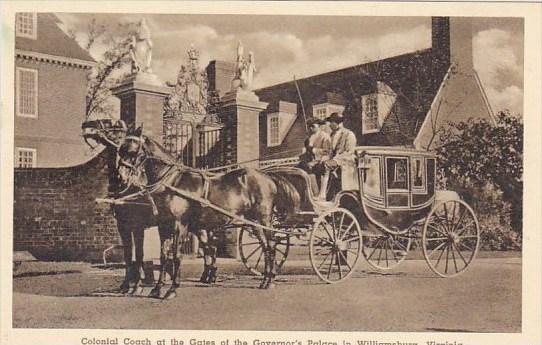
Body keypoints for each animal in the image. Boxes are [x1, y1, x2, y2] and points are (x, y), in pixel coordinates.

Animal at [117, 126, 302, 298]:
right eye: (120, 150)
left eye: (132, 151)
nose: (121, 178)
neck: (172, 182)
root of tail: (268, 176)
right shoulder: (163, 226)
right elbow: (164, 257)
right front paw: (156, 289)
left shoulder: (179, 226)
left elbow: (176, 256)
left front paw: (172, 289)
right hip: (253, 222)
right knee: (264, 246)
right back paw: (265, 280)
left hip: (264, 219)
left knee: (270, 245)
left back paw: (270, 280)